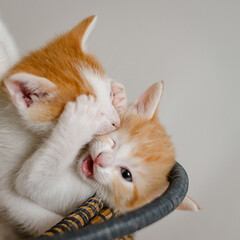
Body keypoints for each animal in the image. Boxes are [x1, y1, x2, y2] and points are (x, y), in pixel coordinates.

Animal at [0, 16, 126, 238]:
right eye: (96, 114)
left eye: (108, 95)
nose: (116, 122)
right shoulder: (5, 180)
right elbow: (28, 200)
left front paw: (119, 95)